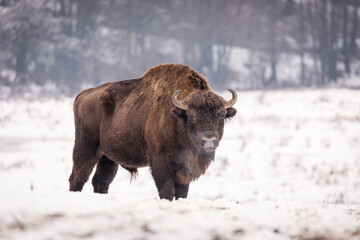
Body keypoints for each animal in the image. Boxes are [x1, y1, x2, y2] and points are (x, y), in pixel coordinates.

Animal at [68, 62, 236, 200]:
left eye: (221, 116)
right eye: (192, 116)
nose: (208, 140)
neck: (178, 118)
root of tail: (83, 94)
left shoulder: (184, 170)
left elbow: (182, 192)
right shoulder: (160, 160)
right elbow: (166, 189)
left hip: (108, 156)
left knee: (101, 180)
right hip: (86, 147)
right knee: (78, 176)